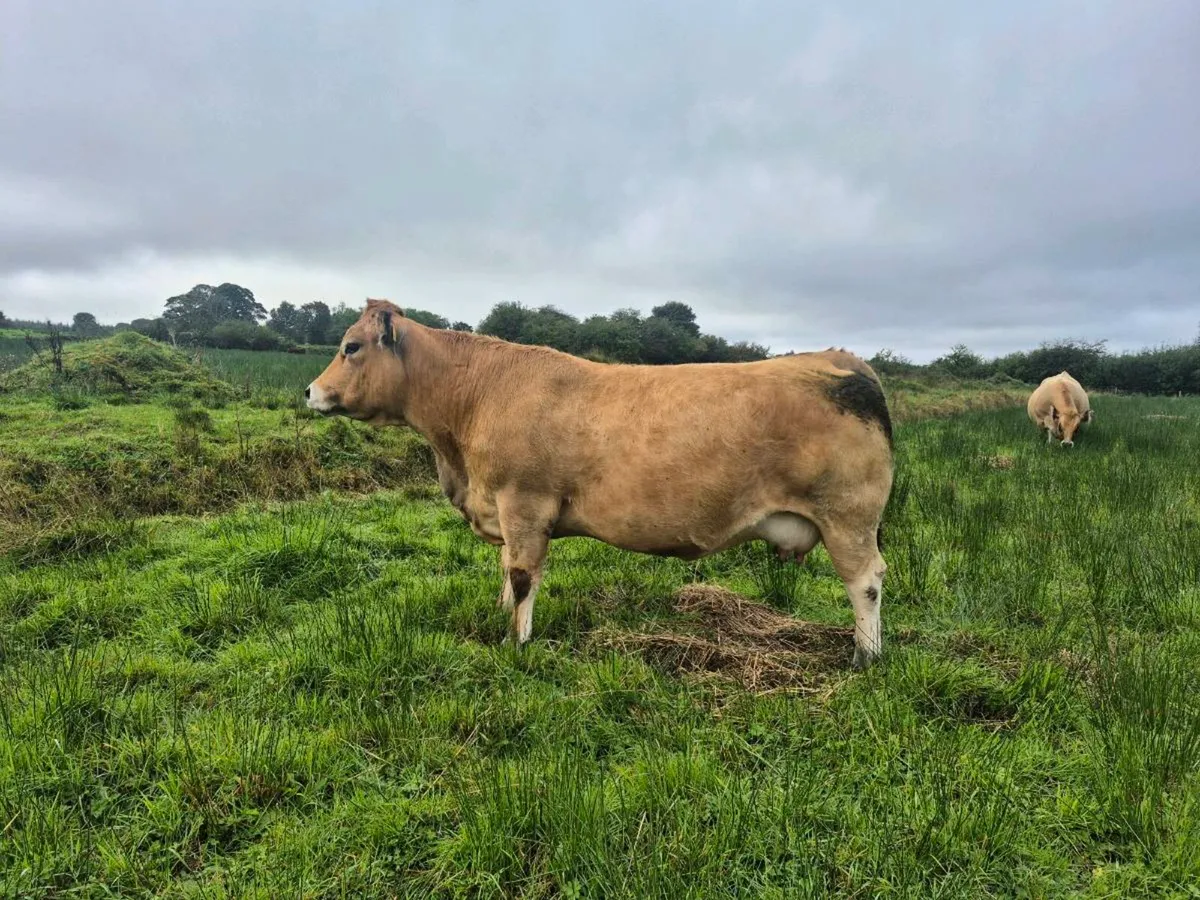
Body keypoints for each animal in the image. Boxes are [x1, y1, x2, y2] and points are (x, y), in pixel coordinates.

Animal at [306, 300, 896, 669]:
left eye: (351, 347)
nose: (310, 391)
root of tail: (843, 361)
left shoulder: (524, 502)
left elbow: (522, 575)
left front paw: (516, 642)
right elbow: (505, 571)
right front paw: (500, 615)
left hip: (848, 516)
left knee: (865, 581)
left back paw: (866, 656)